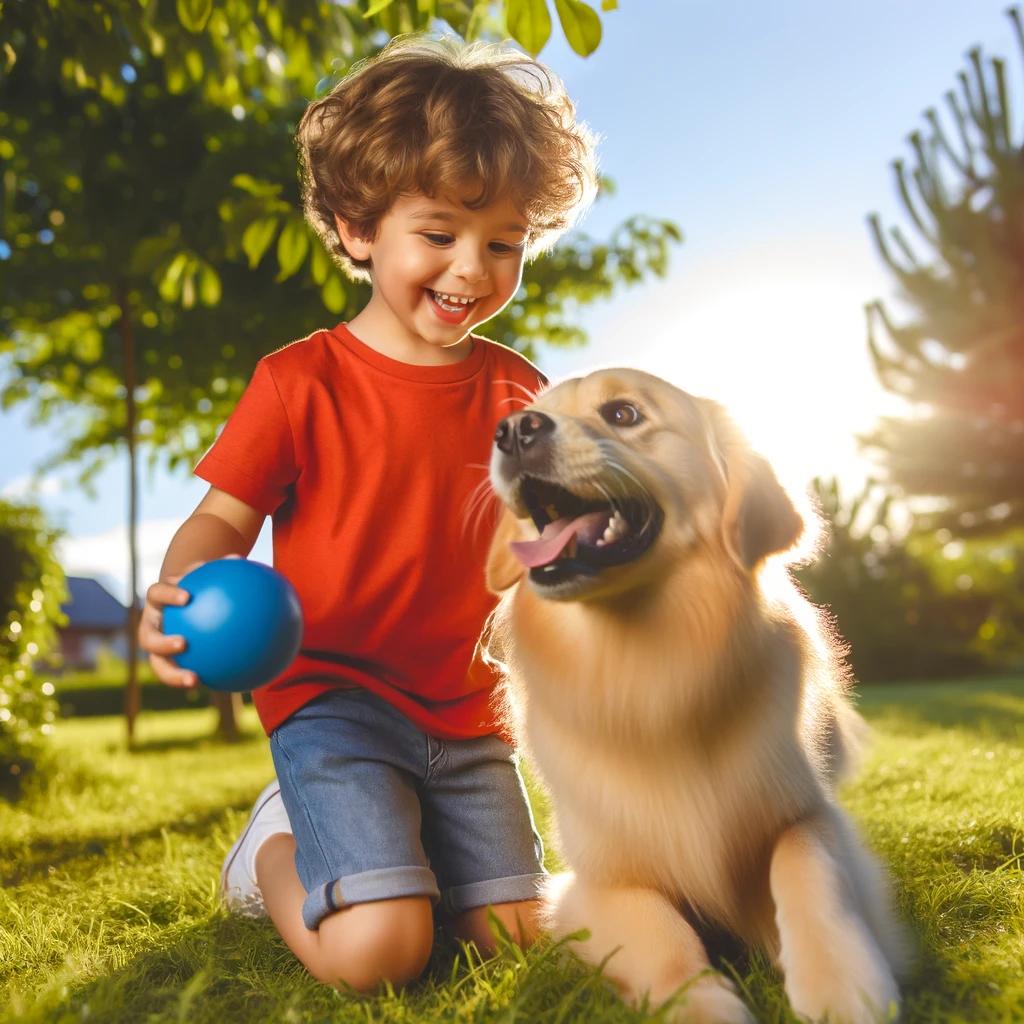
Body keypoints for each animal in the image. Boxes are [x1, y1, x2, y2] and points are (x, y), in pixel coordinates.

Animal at [483, 370, 909, 1024]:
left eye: (623, 413)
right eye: (528, 412)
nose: (512, 430)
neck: (651, 672)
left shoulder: (807, 812)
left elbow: (807, 863)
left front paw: (841, 982)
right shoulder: (594, 883)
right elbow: (660, 935)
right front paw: (703, 1004)